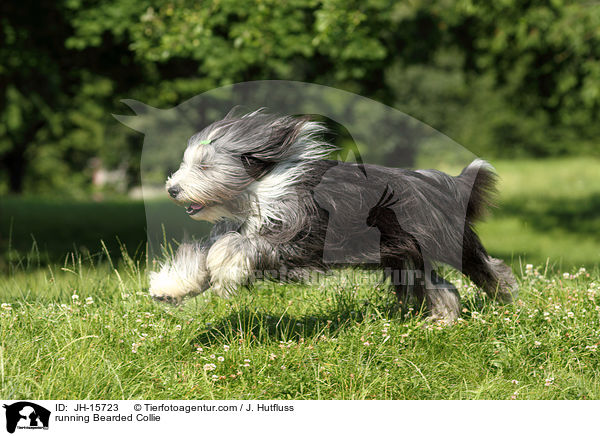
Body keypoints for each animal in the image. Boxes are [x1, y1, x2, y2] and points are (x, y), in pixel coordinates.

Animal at [149, 109, 516, 320]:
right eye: (186, 163)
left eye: (205, 166)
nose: (173, 189)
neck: (261, 191)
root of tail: (441, 183)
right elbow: (201, 254)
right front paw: (170, 287)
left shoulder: (296, 237)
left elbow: (238, 247)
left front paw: (225, 272)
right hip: (404, 254)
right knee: (440, 286)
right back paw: (442, 320)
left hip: (446, 241)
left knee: (486, 267)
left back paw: (507, 300)